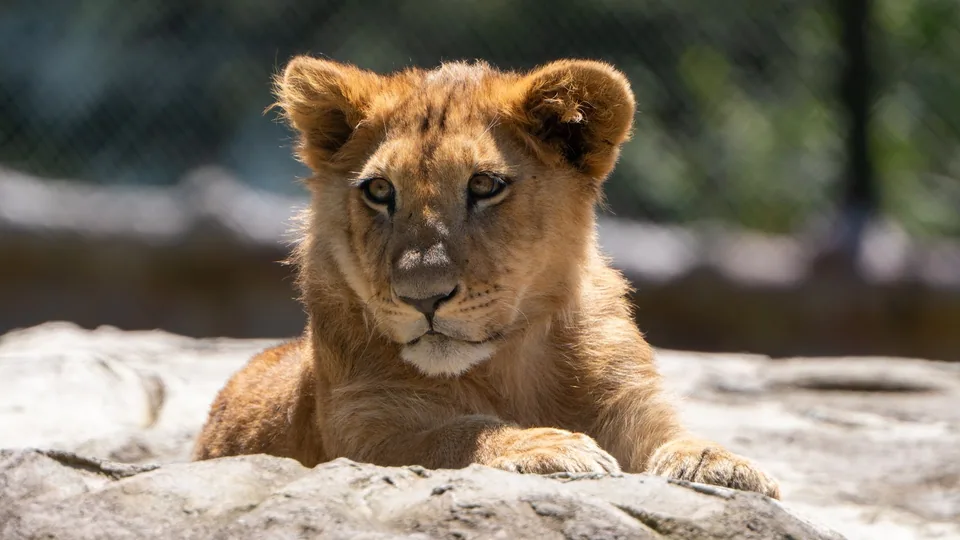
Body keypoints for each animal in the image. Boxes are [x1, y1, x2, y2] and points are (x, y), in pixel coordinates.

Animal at [193, 56, 781, 499]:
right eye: (380, 191)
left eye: (484, 185)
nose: (422, 298)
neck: (509, 366)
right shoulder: (360, 430)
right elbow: (456, 434)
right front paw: (546, 446)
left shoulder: (634, 408)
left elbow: (673, 438)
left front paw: (720, 463)